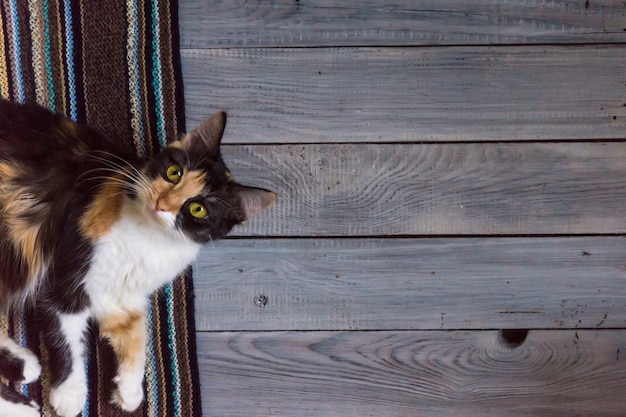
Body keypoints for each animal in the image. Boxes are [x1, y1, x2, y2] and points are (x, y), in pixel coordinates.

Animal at [0, 99, 274, 414]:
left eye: (198, 209)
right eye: (174, 172)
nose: (162, 204)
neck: (148, 238)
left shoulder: (124, 297)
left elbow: (138, 336)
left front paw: (129, 390)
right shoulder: (67, 278)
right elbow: (68, 340)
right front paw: (70, 392)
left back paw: (24, 365)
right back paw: (24, 405)